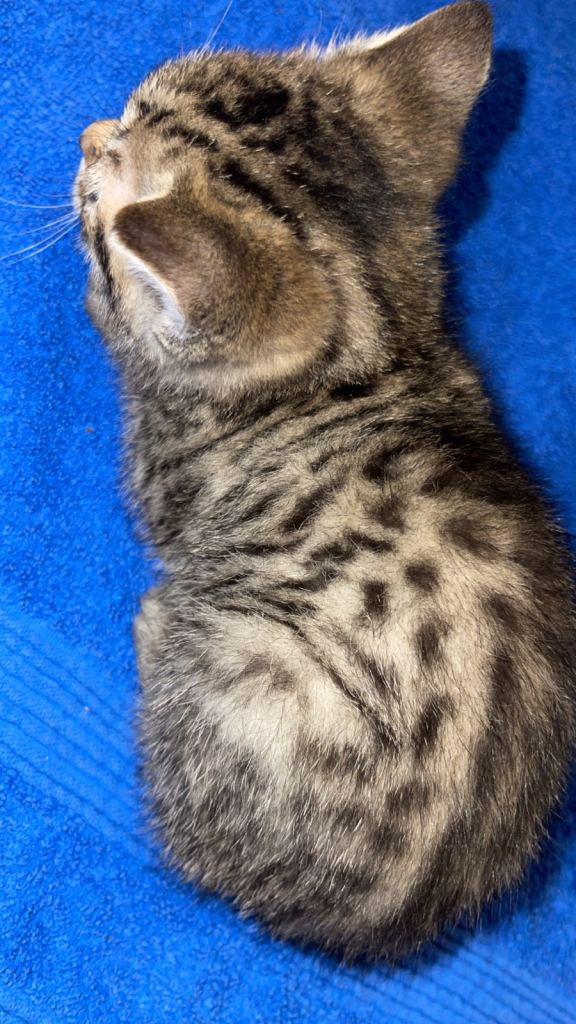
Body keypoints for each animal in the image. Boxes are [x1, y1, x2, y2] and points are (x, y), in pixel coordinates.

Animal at [74, 1, 575, 960]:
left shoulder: (166, 488)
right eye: (129, 106)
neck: (377, 342)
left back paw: (157, 629)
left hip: (244, 669)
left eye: (97, 207)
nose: (86, 137)